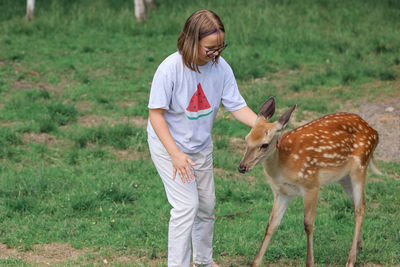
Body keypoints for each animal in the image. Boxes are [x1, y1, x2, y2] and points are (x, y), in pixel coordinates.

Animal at [238, 97, 382, 267]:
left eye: (264, 144)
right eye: (246, 138)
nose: (242, 167)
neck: (283, 167)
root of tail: (374, 132)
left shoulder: (312, 184)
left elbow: (308, 224)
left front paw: (310, 262)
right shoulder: (281, 192)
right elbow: (271, 225)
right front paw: (255, 262)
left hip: (360, 165)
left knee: (359, 208)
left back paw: (351, 259)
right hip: (343, 176)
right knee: (359, 204)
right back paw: (359, 247)